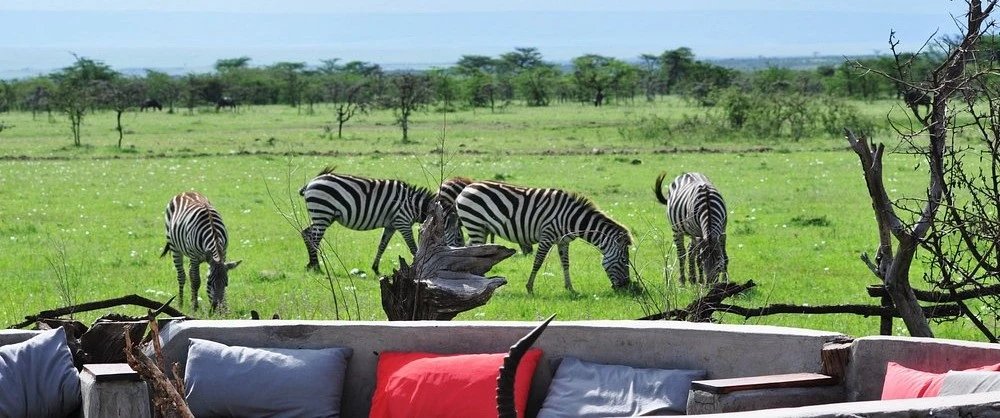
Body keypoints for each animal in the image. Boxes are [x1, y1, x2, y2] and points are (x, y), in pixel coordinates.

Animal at [300, 169, 434, 274]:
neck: (414, 205)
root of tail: (311, 182)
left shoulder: (391, 226)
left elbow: (382, 246)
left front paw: (375, 269)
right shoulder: (402, 222)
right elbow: (413, 248)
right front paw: (419, 266)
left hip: (324, 216)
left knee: (306, 232)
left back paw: (310, 264)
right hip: (322, 213)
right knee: (315, 239)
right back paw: (316, 267)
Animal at [454, 181, 632, 293]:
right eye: (624, 260)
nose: (627, 286)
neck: (572, 219)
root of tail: (468, 186)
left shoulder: (563, 241)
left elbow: (566, 263)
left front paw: (570, 288)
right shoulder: (547, 235)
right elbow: (538, 262)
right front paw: (530, 287)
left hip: (481, 228)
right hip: (475, 224)